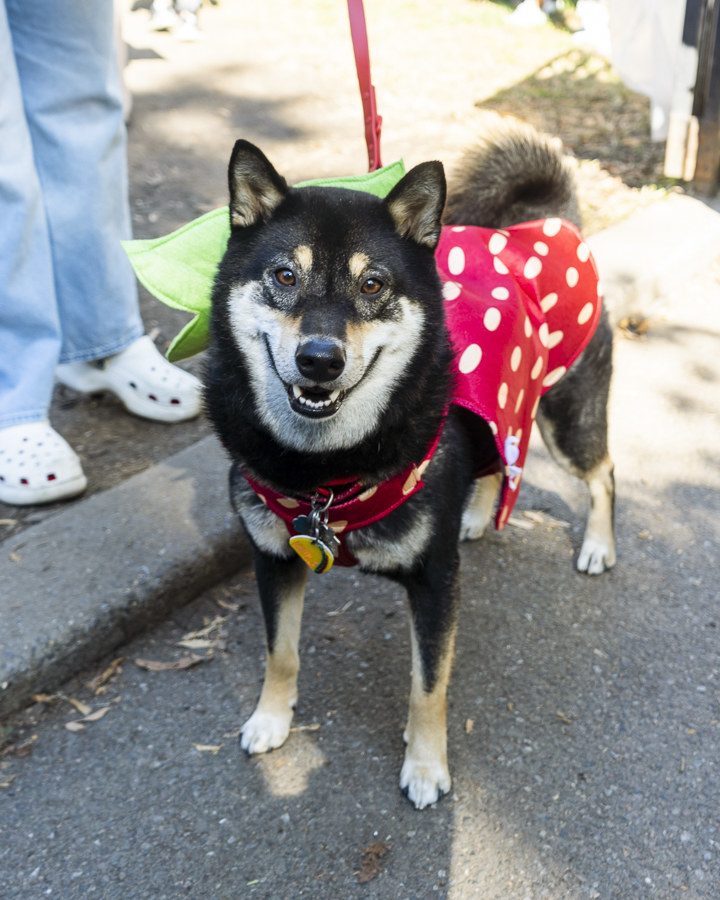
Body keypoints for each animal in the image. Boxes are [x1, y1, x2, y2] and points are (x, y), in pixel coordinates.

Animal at [205, 116, 616, 812]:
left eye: (373, 285)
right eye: (284, 277)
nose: (320, 358)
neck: (325, 475)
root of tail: (554, 223)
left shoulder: (435, 580)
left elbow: (430, 686)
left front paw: (425, 766)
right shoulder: (275, 556)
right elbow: (280, 652)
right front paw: (271, 718)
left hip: (568, 420)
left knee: (603, 473)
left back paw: (598, 545)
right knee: (502, 458)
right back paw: (477, 514)